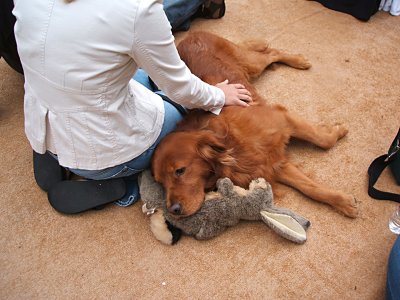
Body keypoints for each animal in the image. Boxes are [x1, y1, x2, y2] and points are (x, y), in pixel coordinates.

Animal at [152, 31, 358, 218]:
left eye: (180, 171)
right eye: (161, 182)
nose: (173, 211)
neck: (231, 144)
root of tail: (187, 36)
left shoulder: (282, 119)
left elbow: (323, 140)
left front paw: (338, 131)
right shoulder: (271, 163)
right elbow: (309, 188)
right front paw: (344, 202)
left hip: (252, 64)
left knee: (271, 53)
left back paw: (298, 60)